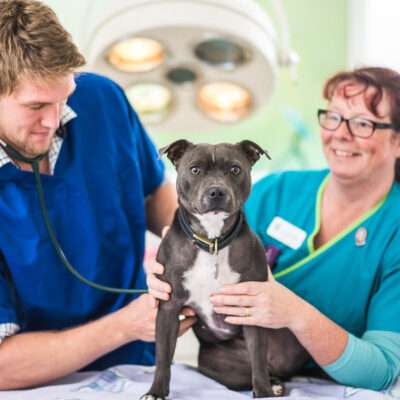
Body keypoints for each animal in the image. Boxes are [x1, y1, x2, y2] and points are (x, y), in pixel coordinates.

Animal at [141, 140, 310, 400]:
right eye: (195, 169)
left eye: (234, 169)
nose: (217, 191)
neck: (213, 242)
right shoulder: (169, 308)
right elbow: (163, 358)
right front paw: (156, 392)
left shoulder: (252, 308)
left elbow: (258, 360)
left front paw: (263, 393)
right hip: (219, 367)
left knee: (265, 366)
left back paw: (273, 384)